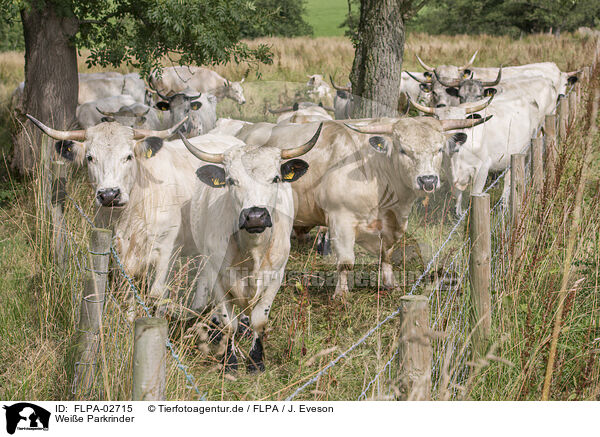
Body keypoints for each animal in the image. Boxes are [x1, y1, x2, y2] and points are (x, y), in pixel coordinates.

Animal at [179, 122, 324, 372]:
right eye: (230, 180)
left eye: (275, 178)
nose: (255, 216)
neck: (252, 252)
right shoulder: (217, 276)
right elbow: (228, 323)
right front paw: (230, 361)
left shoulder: (276, 276)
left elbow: (259, 320)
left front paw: (256, 360)